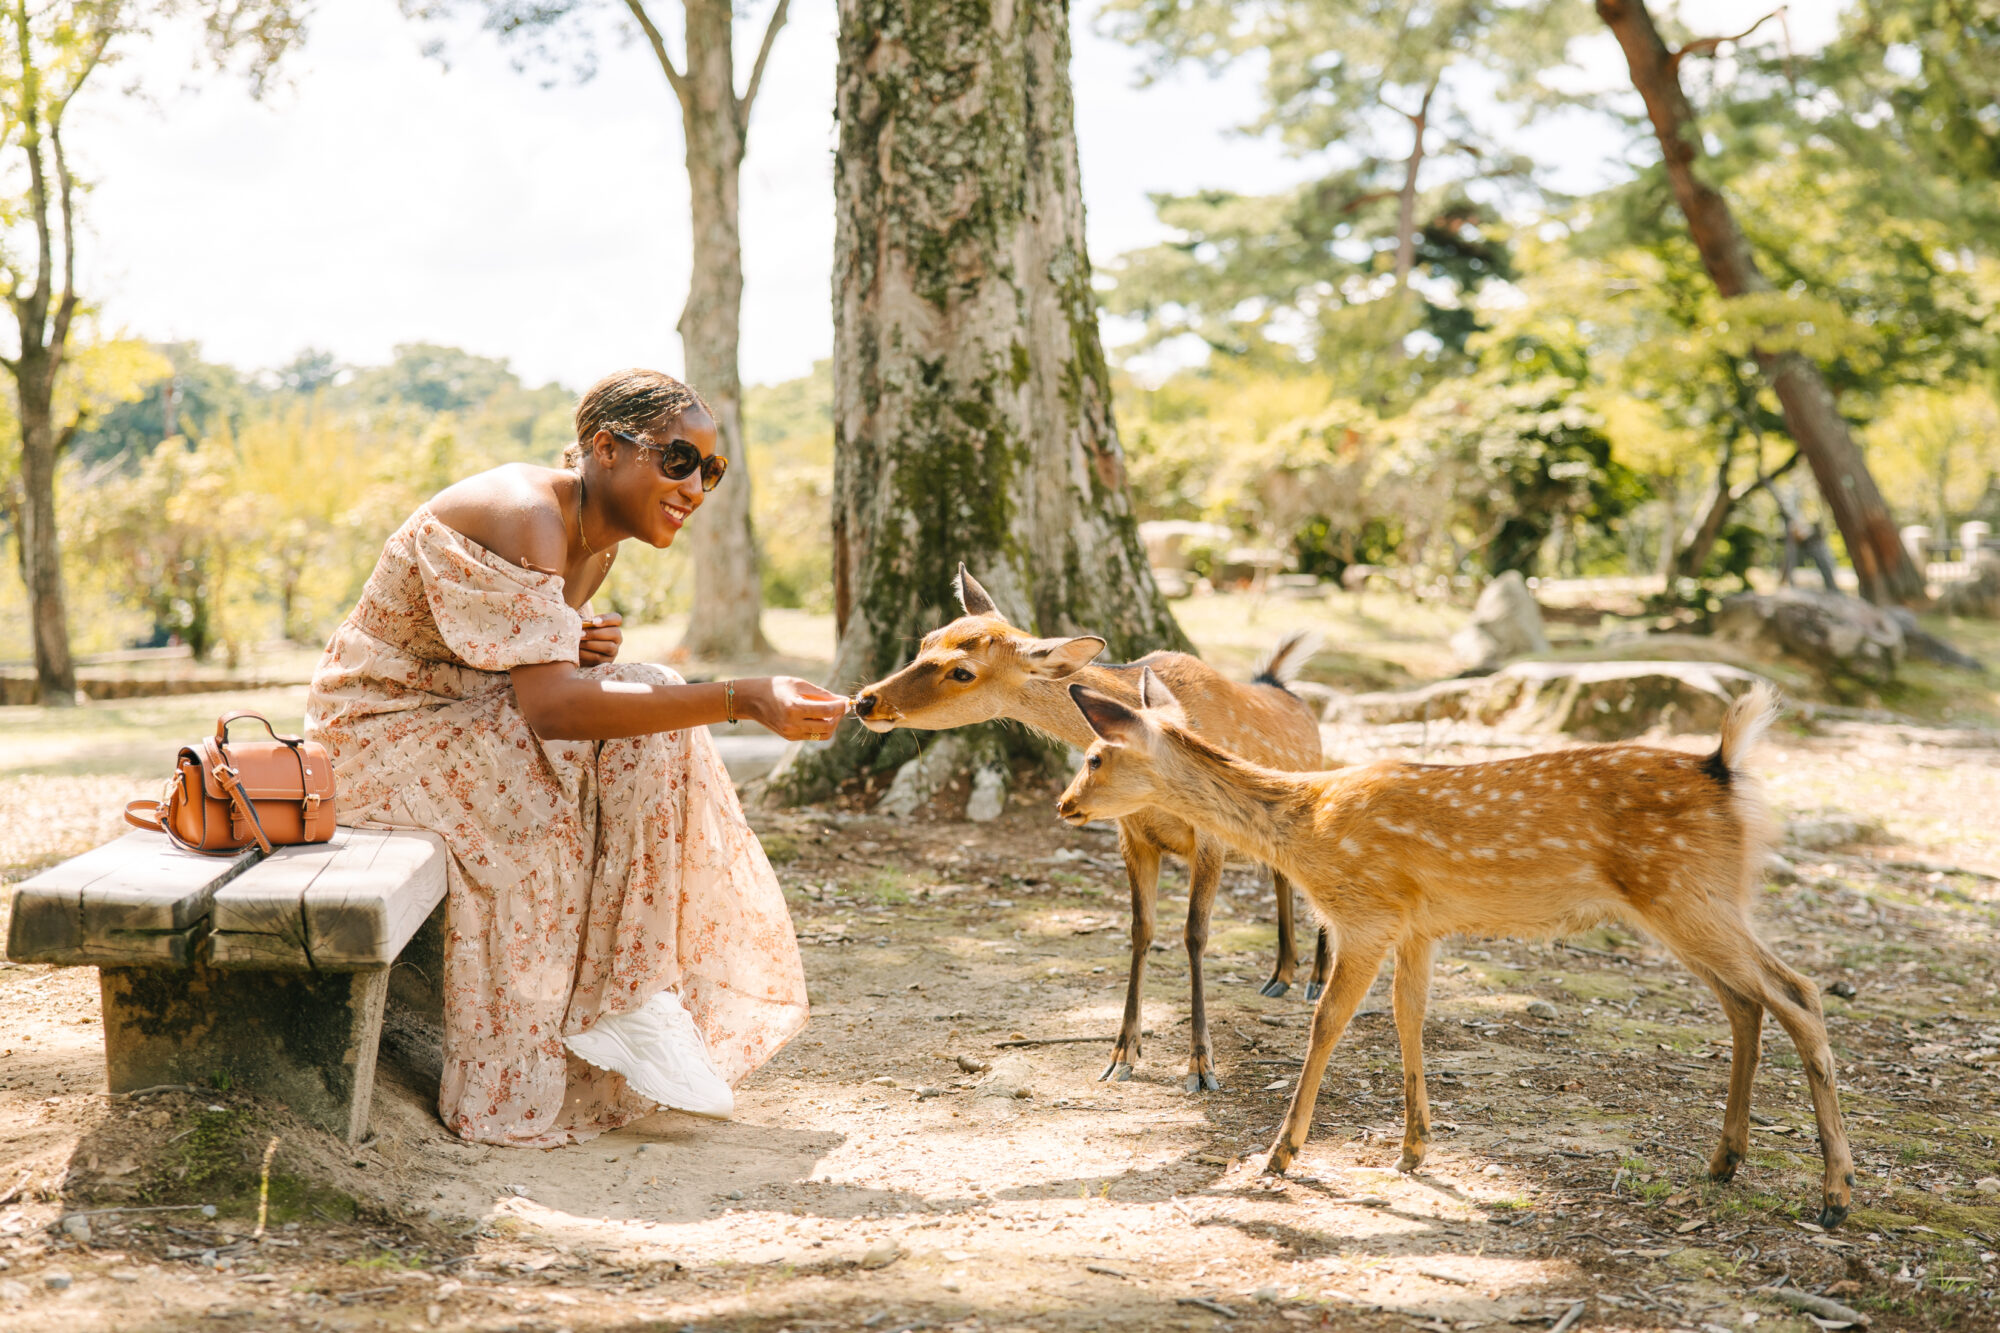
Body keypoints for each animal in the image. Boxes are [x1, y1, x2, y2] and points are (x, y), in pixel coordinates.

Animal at [1064, 668, 1856, 1232]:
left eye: (1097, 755)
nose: (1066, 804)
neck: (1308, 828)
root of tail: (1726, 767)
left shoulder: (1366, 912)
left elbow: (1327, 1022)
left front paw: (1280, 1153)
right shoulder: (1417, 925)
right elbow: (1408, 1016)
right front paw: (1415, 1146)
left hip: (1688, 896)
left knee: (1799, 992)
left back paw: (1835, 1193)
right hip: (1699, 901)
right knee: (1748, 1002)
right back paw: (1725, 1160)